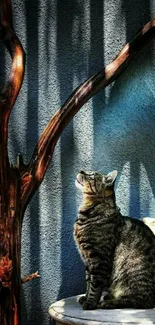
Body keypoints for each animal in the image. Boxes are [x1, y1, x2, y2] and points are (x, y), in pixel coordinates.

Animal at [74, 170, 155, 308]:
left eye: (91, 175)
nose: (80, 170)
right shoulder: (88, 261)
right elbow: (88, 282)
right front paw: (85, 298)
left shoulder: (99, 259)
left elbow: (95, 285)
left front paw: (90, 303)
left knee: (139, 301)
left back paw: (108, 302)